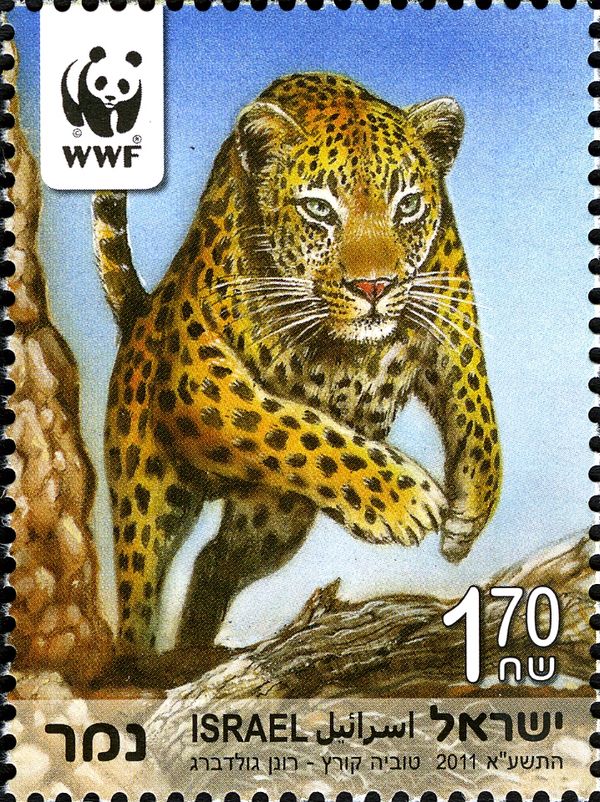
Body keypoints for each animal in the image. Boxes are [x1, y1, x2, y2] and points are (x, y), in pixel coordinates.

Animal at [92, 72, 501, 659]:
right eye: (320, 209)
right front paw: (404, 500)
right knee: (140, 589)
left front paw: (469, 511)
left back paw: (196, 649)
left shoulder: (450, 311)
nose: (374, 287)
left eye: (407, 206)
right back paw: (142, 660)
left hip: (272, 518)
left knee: (215, 560)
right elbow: (293, 428)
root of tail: (142, 314)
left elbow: (478, 408)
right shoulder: (199, 372)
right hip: (147, 495)